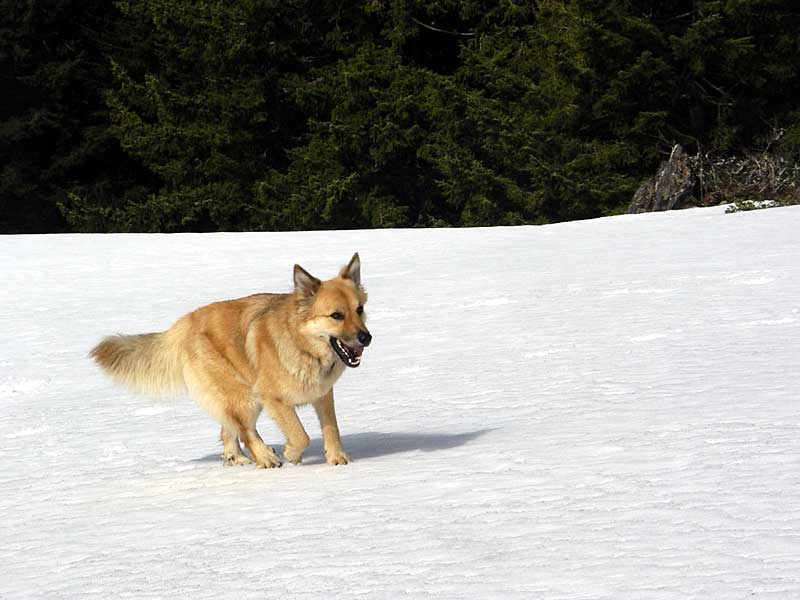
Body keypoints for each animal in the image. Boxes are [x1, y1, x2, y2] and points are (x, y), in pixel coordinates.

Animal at [91, 253, 372, 468]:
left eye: (359, 310)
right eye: (336, 315)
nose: (366, 338)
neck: (303, 346)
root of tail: (184, 323)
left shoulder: (322, 395)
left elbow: (331, 428)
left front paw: (337, 459)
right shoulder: (273, 398)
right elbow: (300, 435)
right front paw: (292, 454)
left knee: (229, 428)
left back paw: (236, 458)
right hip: (245, 396)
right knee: (245, 431)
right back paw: (265, 458)